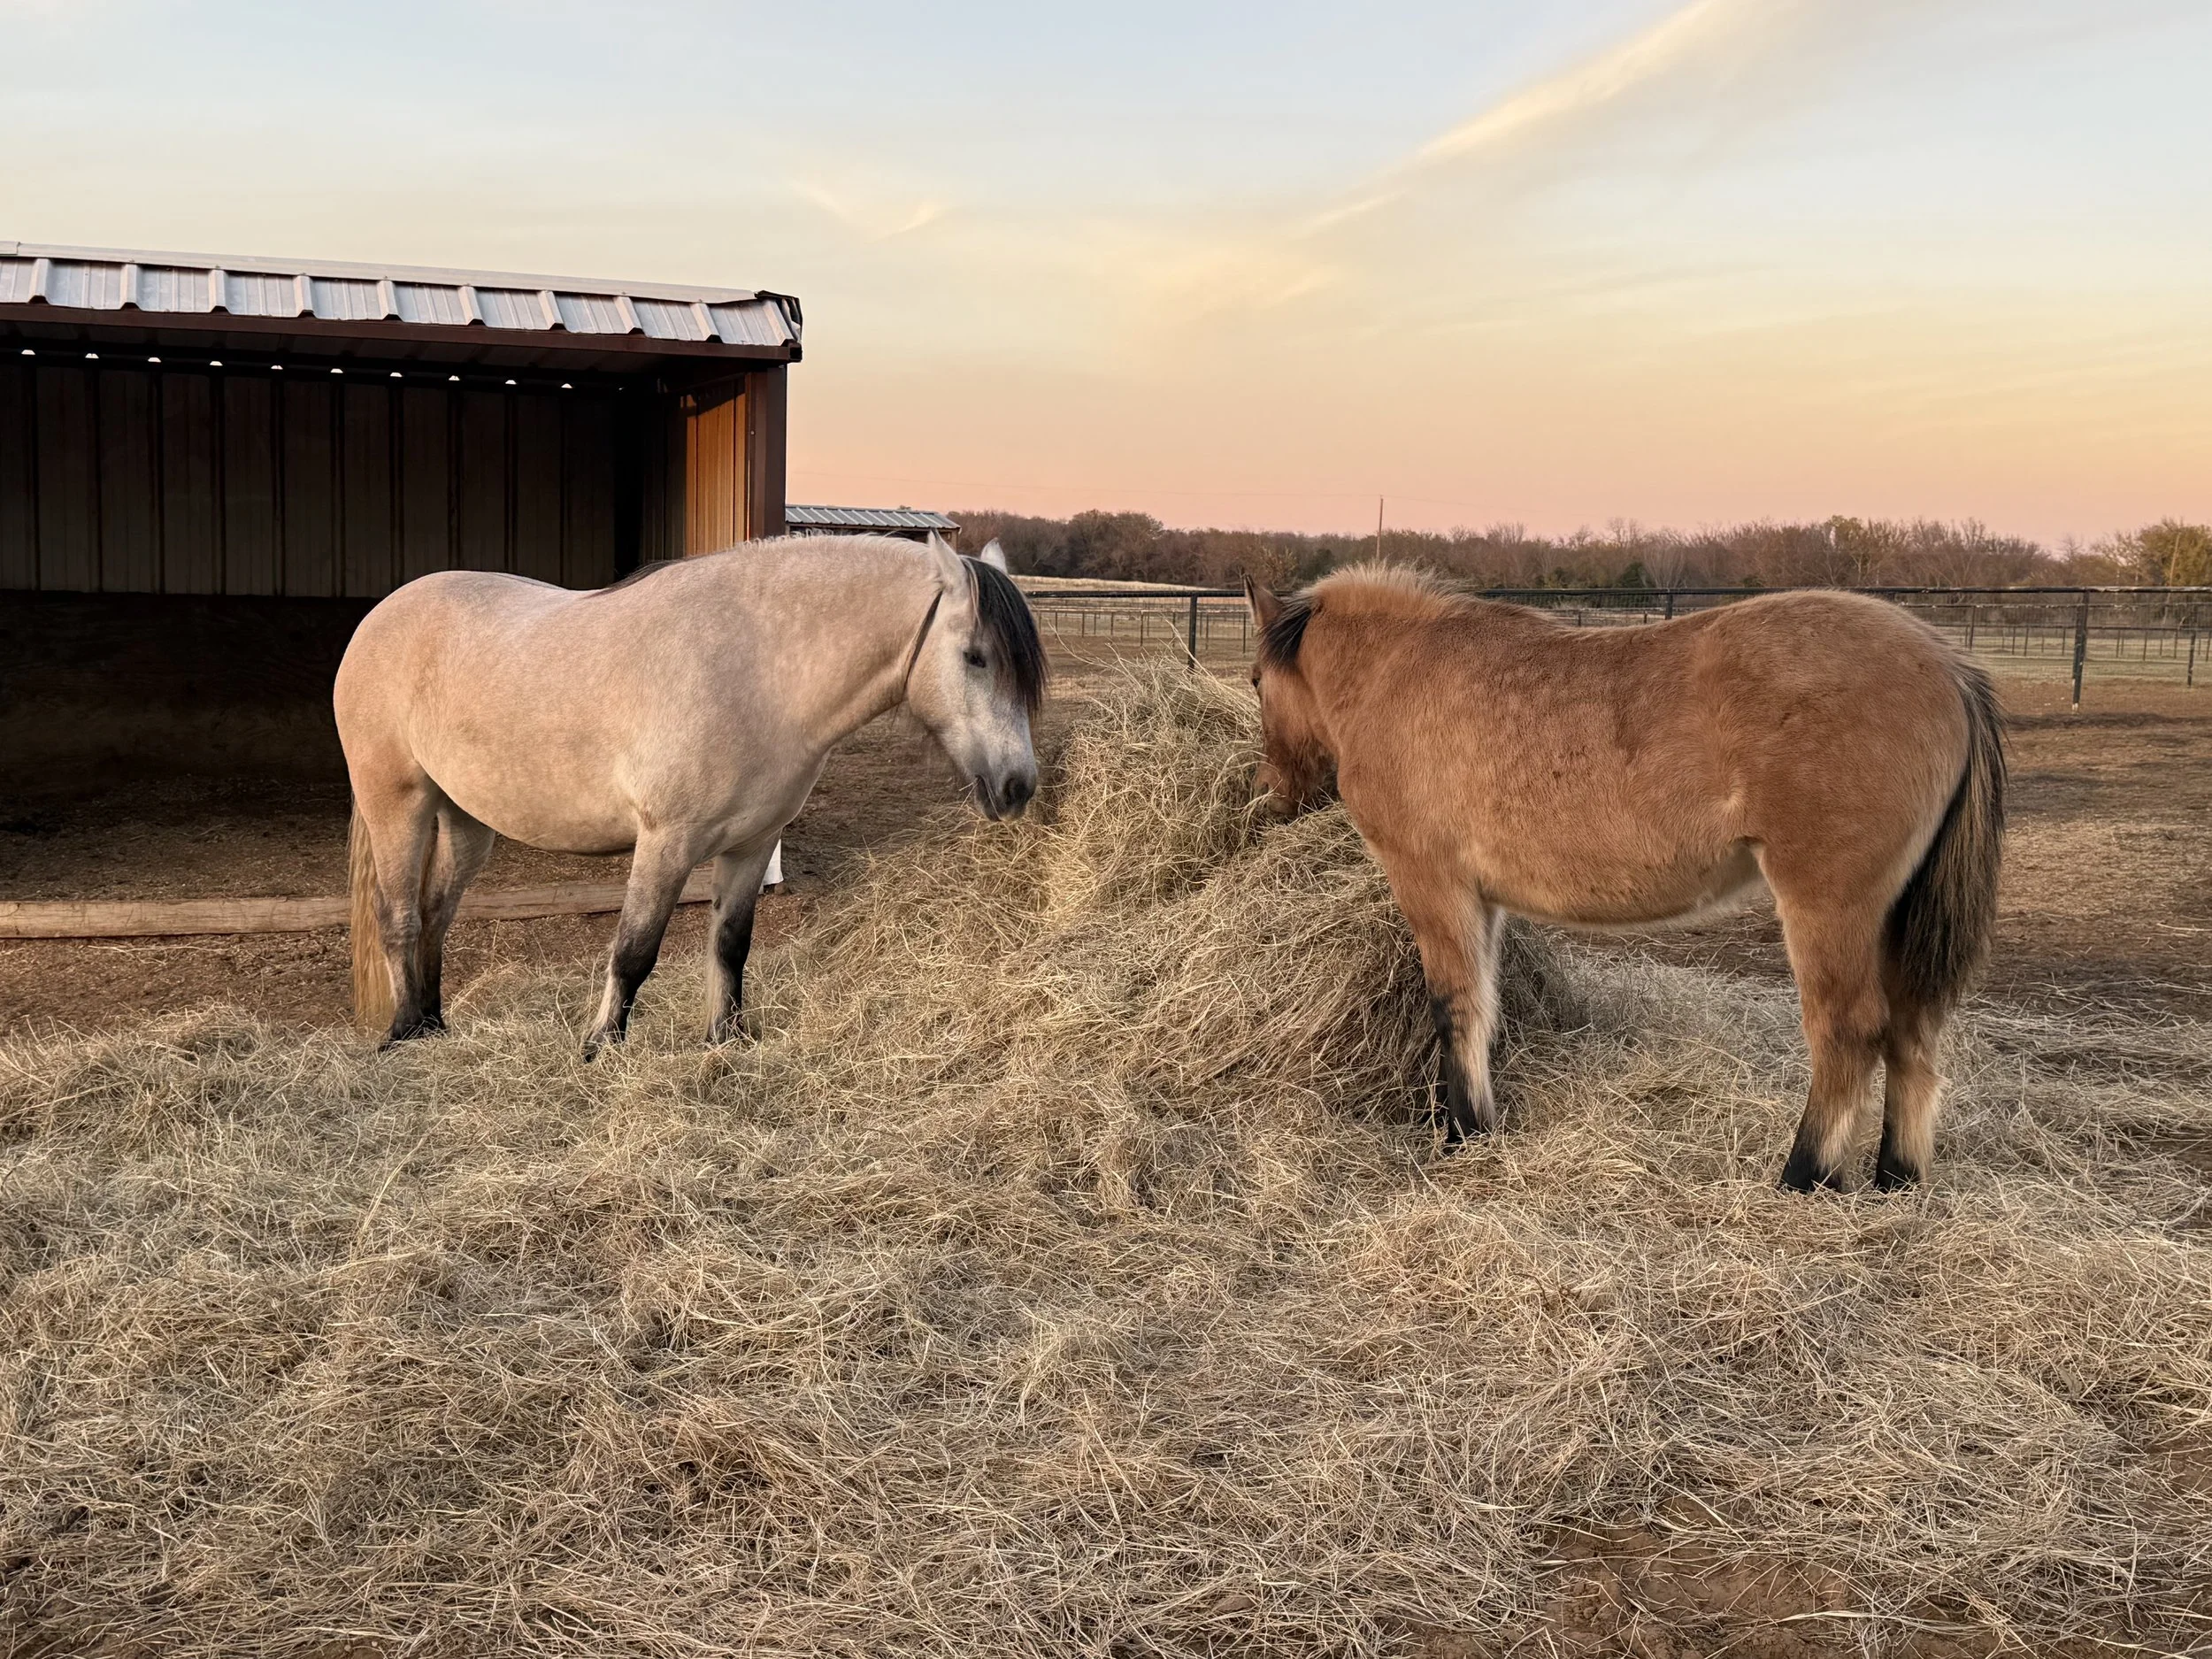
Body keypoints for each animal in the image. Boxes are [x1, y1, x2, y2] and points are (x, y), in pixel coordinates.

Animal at [336, 533, 1044, 1057]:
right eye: (975, 656)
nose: (1019, 786)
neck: (757, 670)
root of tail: (377, 618)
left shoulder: (752, 846)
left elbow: (730, 946)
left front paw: (724, 1042)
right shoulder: (666, 843)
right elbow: (633, 952)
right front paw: (600, 1049)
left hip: (466, 821)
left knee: (437, 912)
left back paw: (434, 1025)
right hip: (398, 803)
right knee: (399, 916)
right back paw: (403, 1034)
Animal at [1242, 566, 2004, 1192]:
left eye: (1253, 680)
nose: (1270, 795)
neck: (1398, 671)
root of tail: (1947, 667)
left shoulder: (1434, 886)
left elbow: (1454, 1006)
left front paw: (1461, 1132)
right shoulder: (1483, 902)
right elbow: (1483, 1005)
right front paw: (1477, 1127)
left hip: (1830, 909)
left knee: (1847, 1031)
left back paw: (1804, 1176)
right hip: (1897, 919)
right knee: (1912, 1030)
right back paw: (1896, 1179)